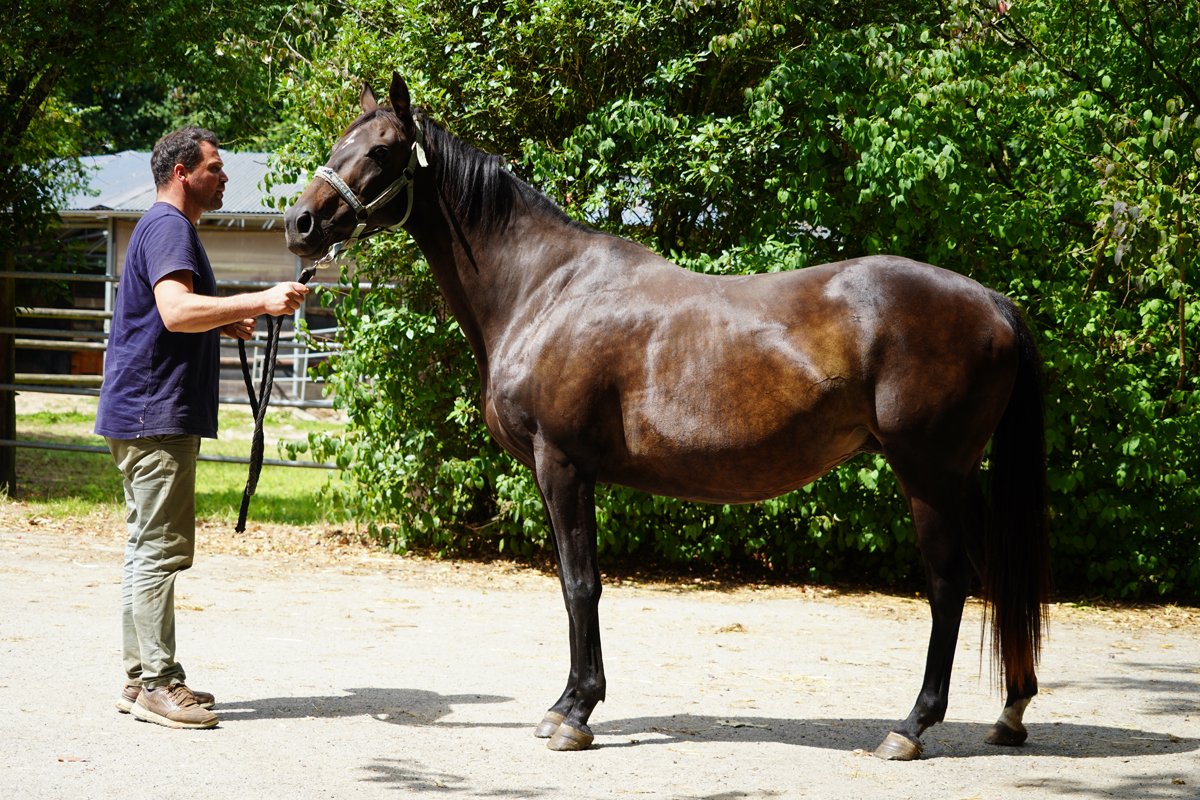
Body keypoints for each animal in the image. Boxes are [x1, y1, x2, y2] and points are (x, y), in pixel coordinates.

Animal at [283, 72, 1051, 760]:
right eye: (341, 140)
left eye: (383, 149)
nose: (301, 224)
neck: (544, 288)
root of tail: (992, 301)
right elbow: (573, 586)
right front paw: (564, 704)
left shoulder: (563, 466)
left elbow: (580, 585)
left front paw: (575, 714)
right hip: (957, 478)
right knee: (995, 579)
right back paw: (1009, 714)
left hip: (928, 474)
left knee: (949, 586)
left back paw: (910, 727)